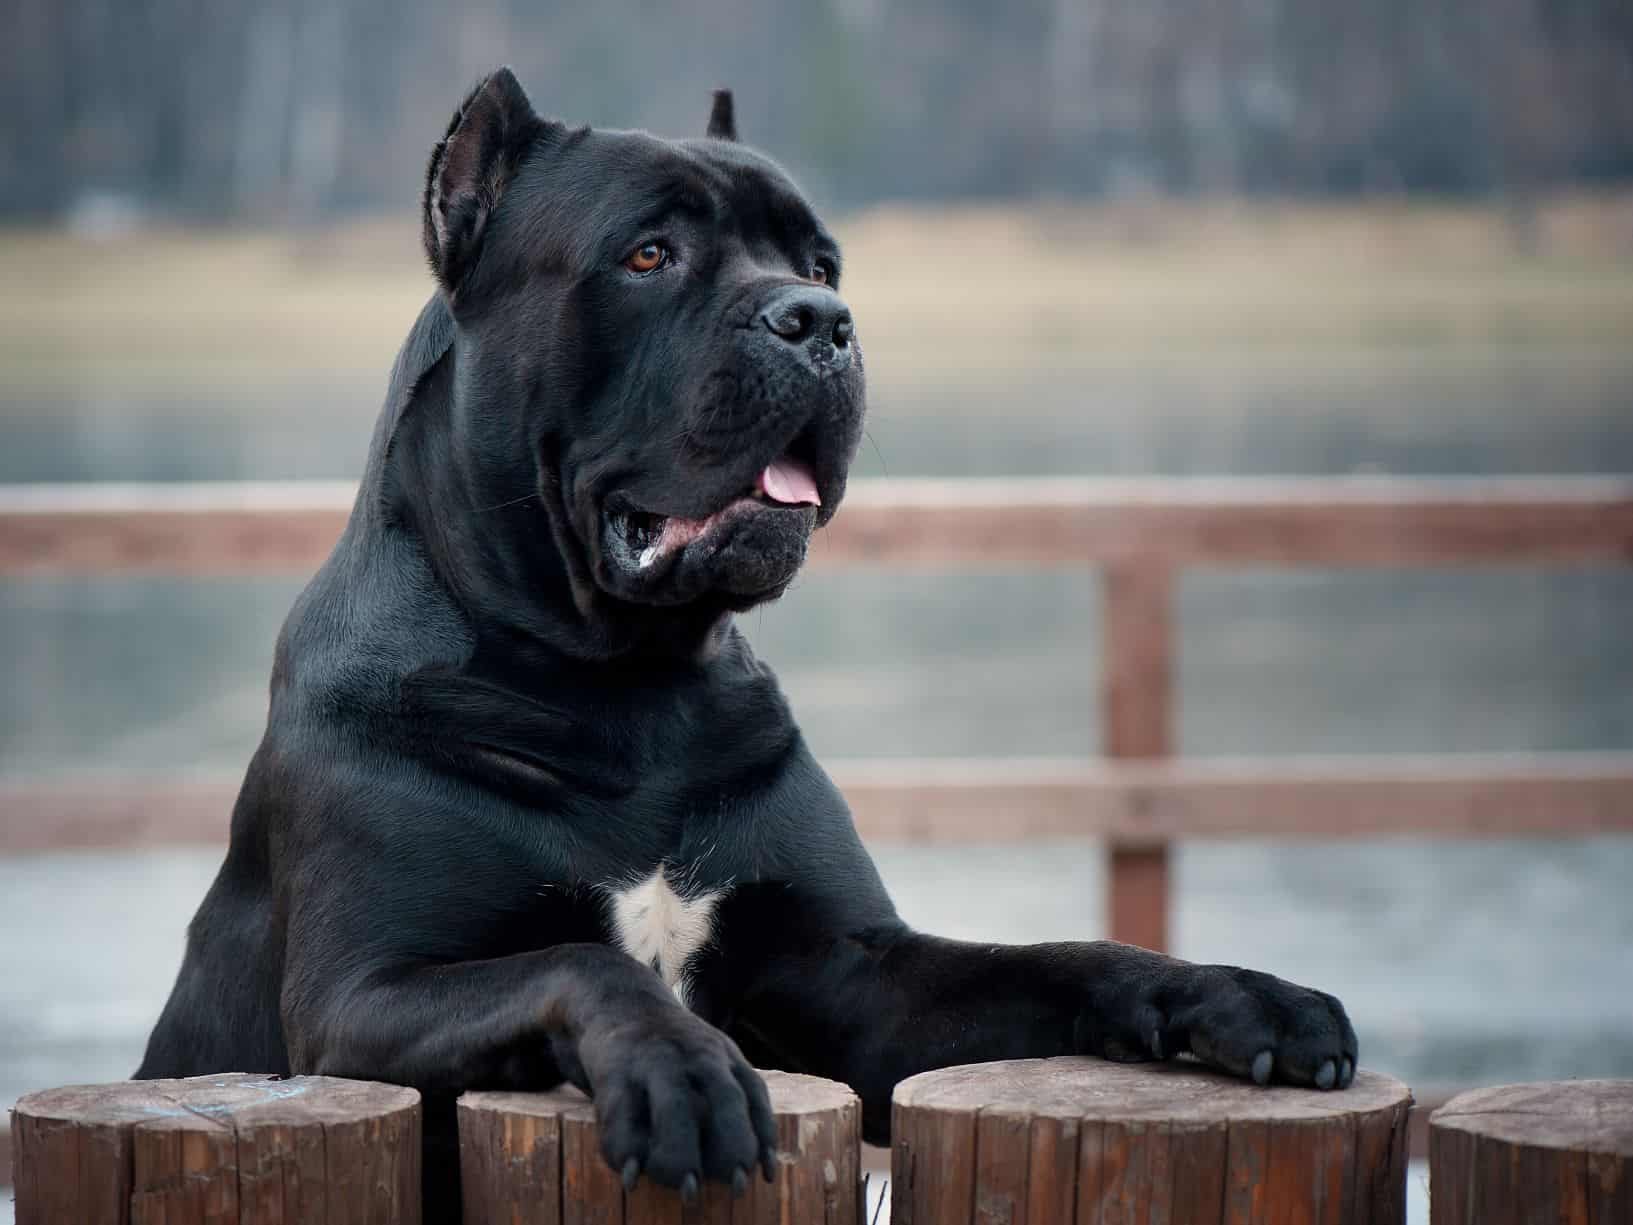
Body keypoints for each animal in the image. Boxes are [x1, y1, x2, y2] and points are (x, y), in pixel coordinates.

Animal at [140, 71, 1358, 1221]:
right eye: (648, 254)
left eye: (819, 260)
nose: (819, 317)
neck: (623, 683)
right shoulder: (359, 998)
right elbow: (580, 958)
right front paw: (684, 1074)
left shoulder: (851, 977)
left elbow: (1062, 959)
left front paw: (1240, 993)